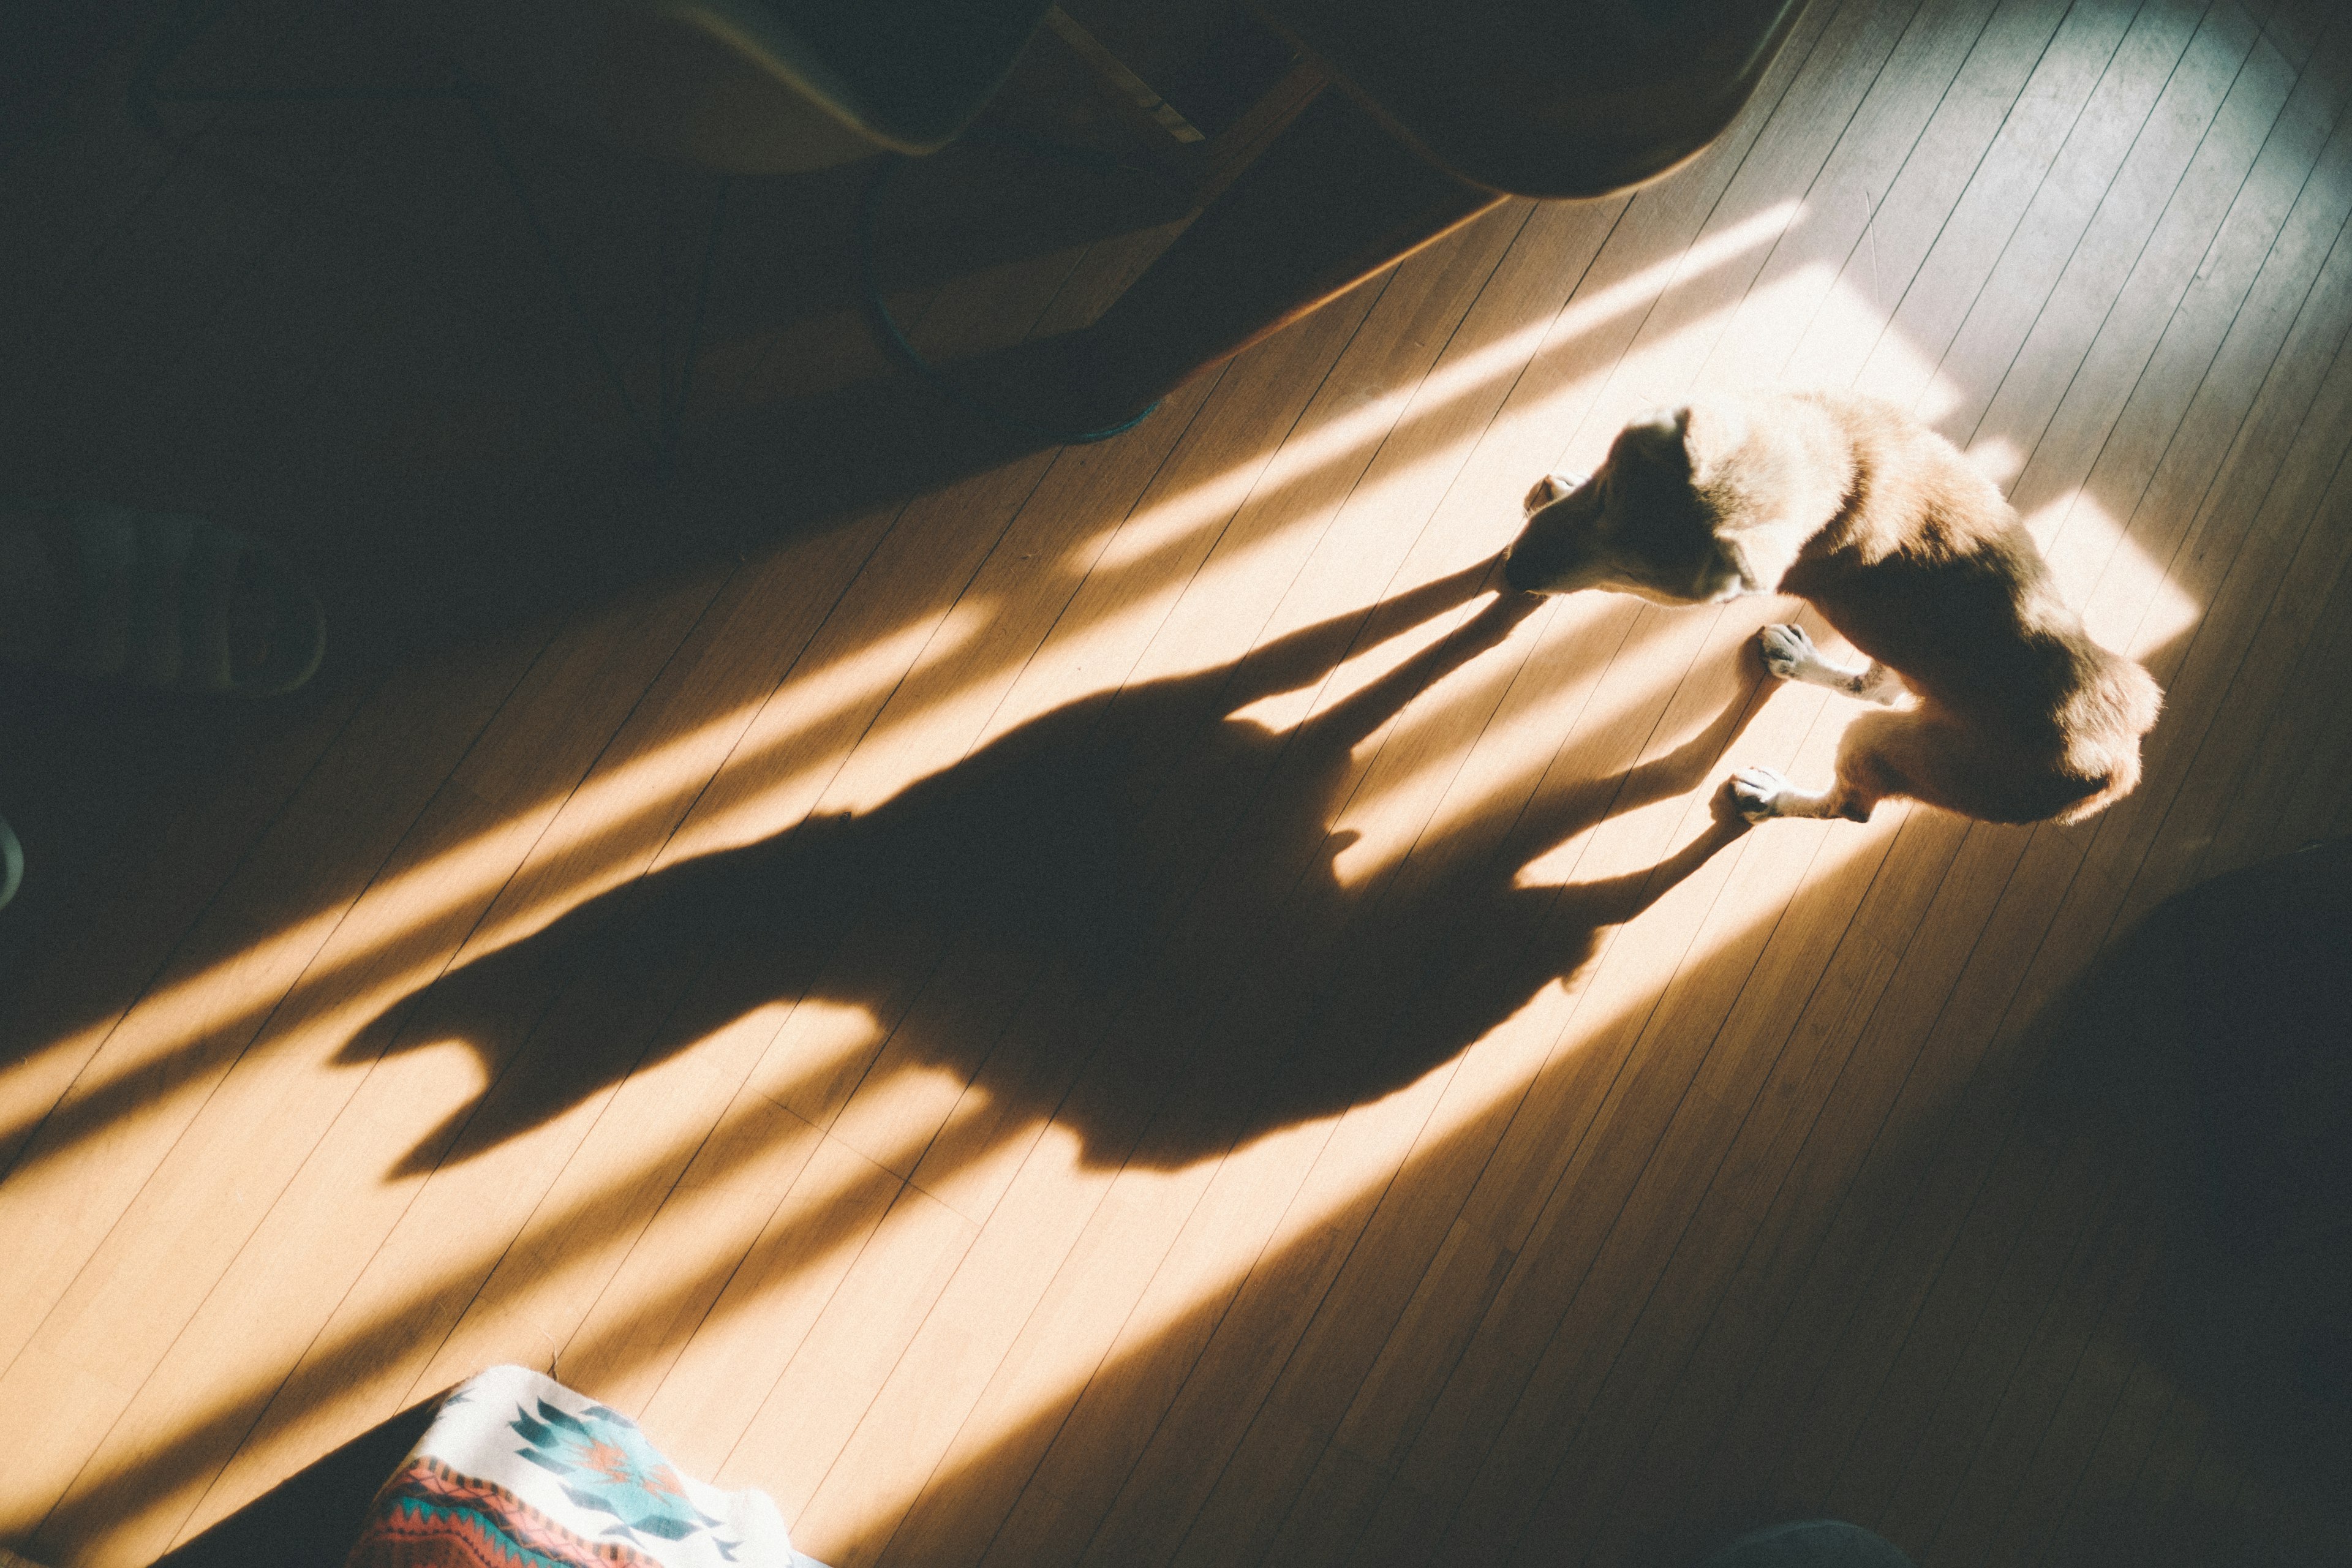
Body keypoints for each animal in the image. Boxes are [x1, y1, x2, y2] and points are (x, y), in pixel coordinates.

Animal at [1496, 392, 2154, 827]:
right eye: (1605, 495)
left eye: (1640, 583)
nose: (1516, 573)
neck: (1842, 472)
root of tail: (2121, 764)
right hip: (1902, 685)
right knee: (1876, 688)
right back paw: (1798, 660)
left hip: (1885, 747)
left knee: (1851, 807)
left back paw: (1769, 798)